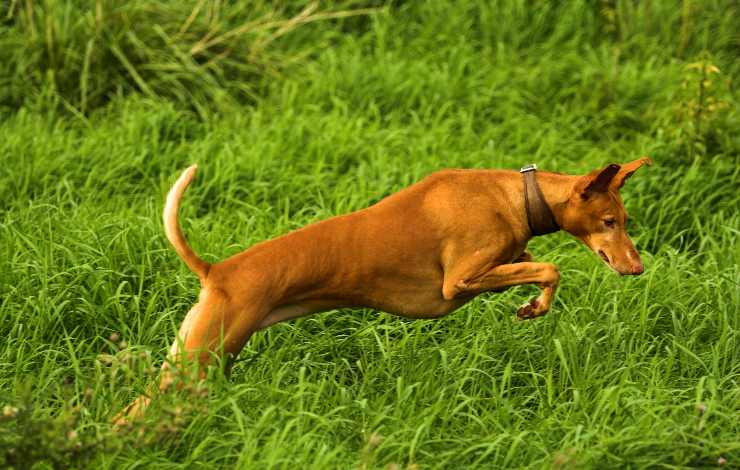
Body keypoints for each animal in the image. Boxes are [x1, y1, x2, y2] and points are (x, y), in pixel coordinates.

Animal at [112, 158, 652, 422]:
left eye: (625, 220)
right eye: (609, 221)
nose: (638, 267)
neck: (517, 195)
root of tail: (216, 271)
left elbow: (531, 263)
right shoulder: (459, 280)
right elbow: (550, 269)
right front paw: (534, 306)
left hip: (196, 358)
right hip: (199, 359)